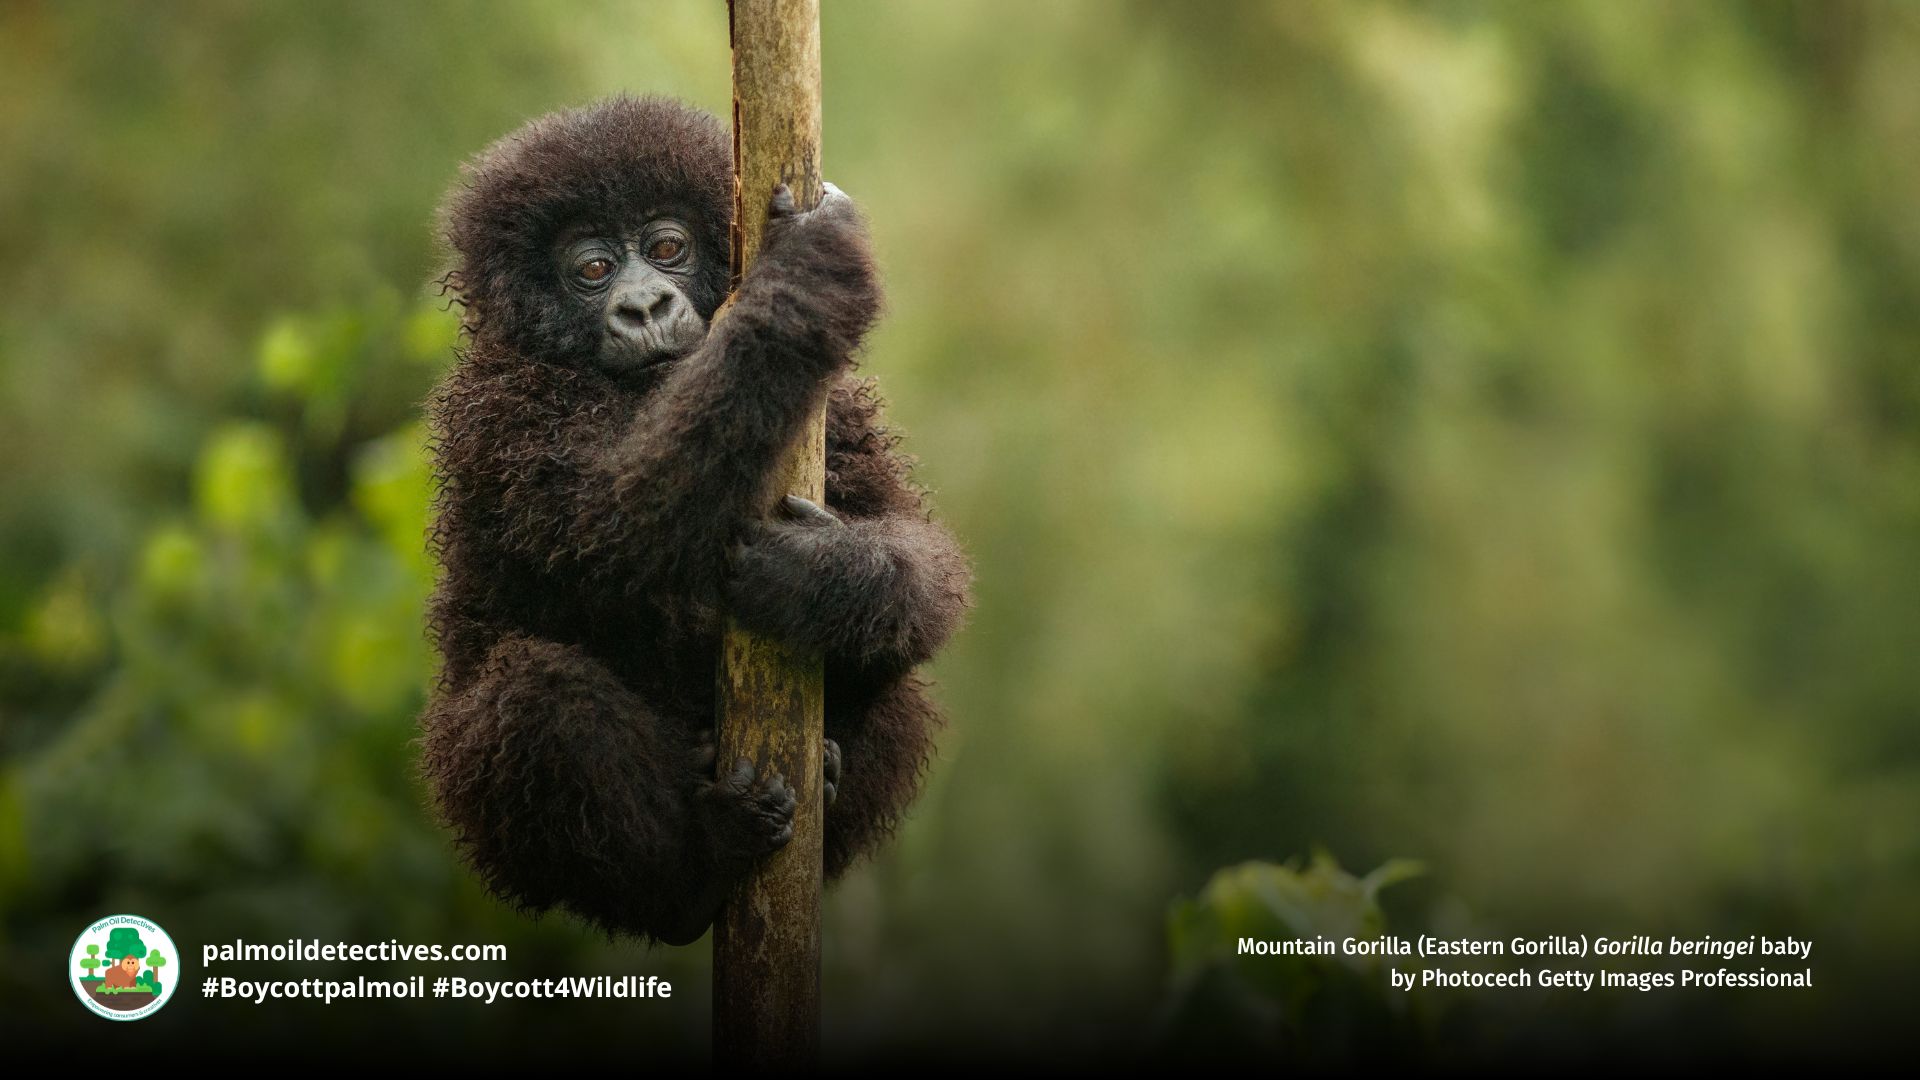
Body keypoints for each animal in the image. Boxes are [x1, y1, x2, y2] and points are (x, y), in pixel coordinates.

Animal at [418, 96, 970, 945]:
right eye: (592, 270)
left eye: (668, 247)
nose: (645, 304)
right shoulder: (498, 412)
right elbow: (619, 520)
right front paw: (805, 277)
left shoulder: (839, 409)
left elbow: (916, 553)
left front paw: (819, 579)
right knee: (535, 698)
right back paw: (692, 872)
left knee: (901, 680)